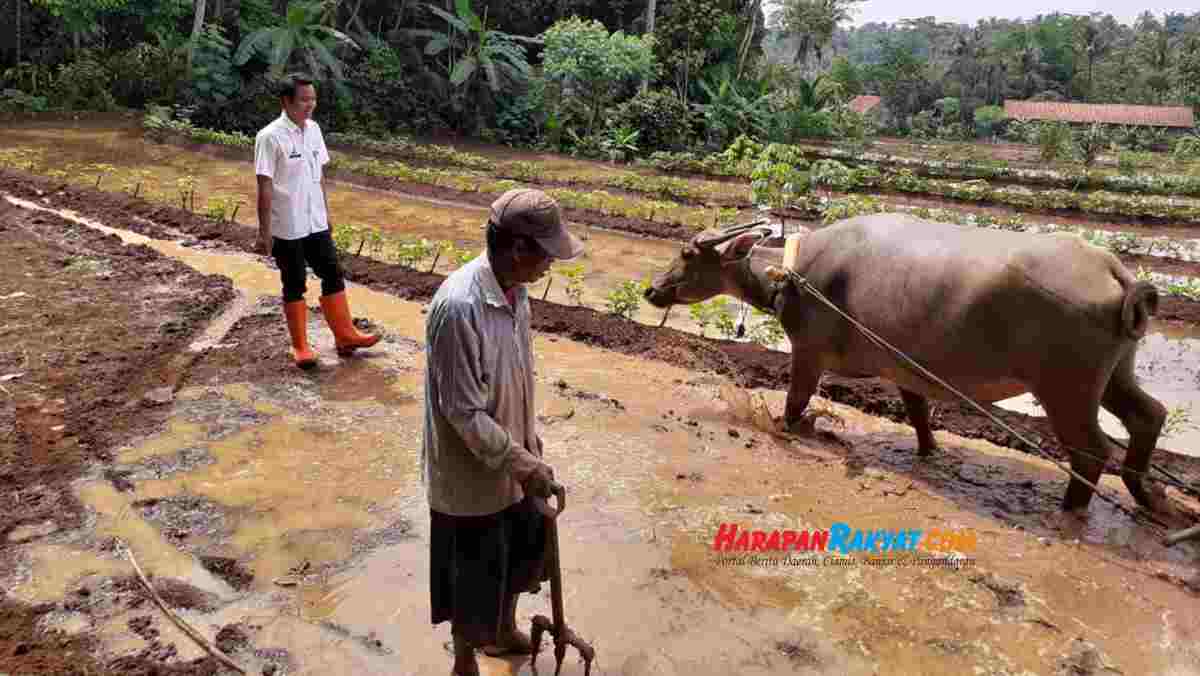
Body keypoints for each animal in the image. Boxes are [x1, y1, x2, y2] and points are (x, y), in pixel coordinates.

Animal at [652, 213, 1166, 516]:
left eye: (687, 253)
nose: (651, 289)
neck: (792, 277)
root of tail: (1114, 272)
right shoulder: (906, 371)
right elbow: (919, 416)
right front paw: (927, 451)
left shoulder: (808, 353)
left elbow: (795, 404)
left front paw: (788, 428)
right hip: (1115, 374)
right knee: (1149, 416)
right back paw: (1149, 496)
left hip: (1064, 388)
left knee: (1092, 450)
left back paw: (1071, 508)